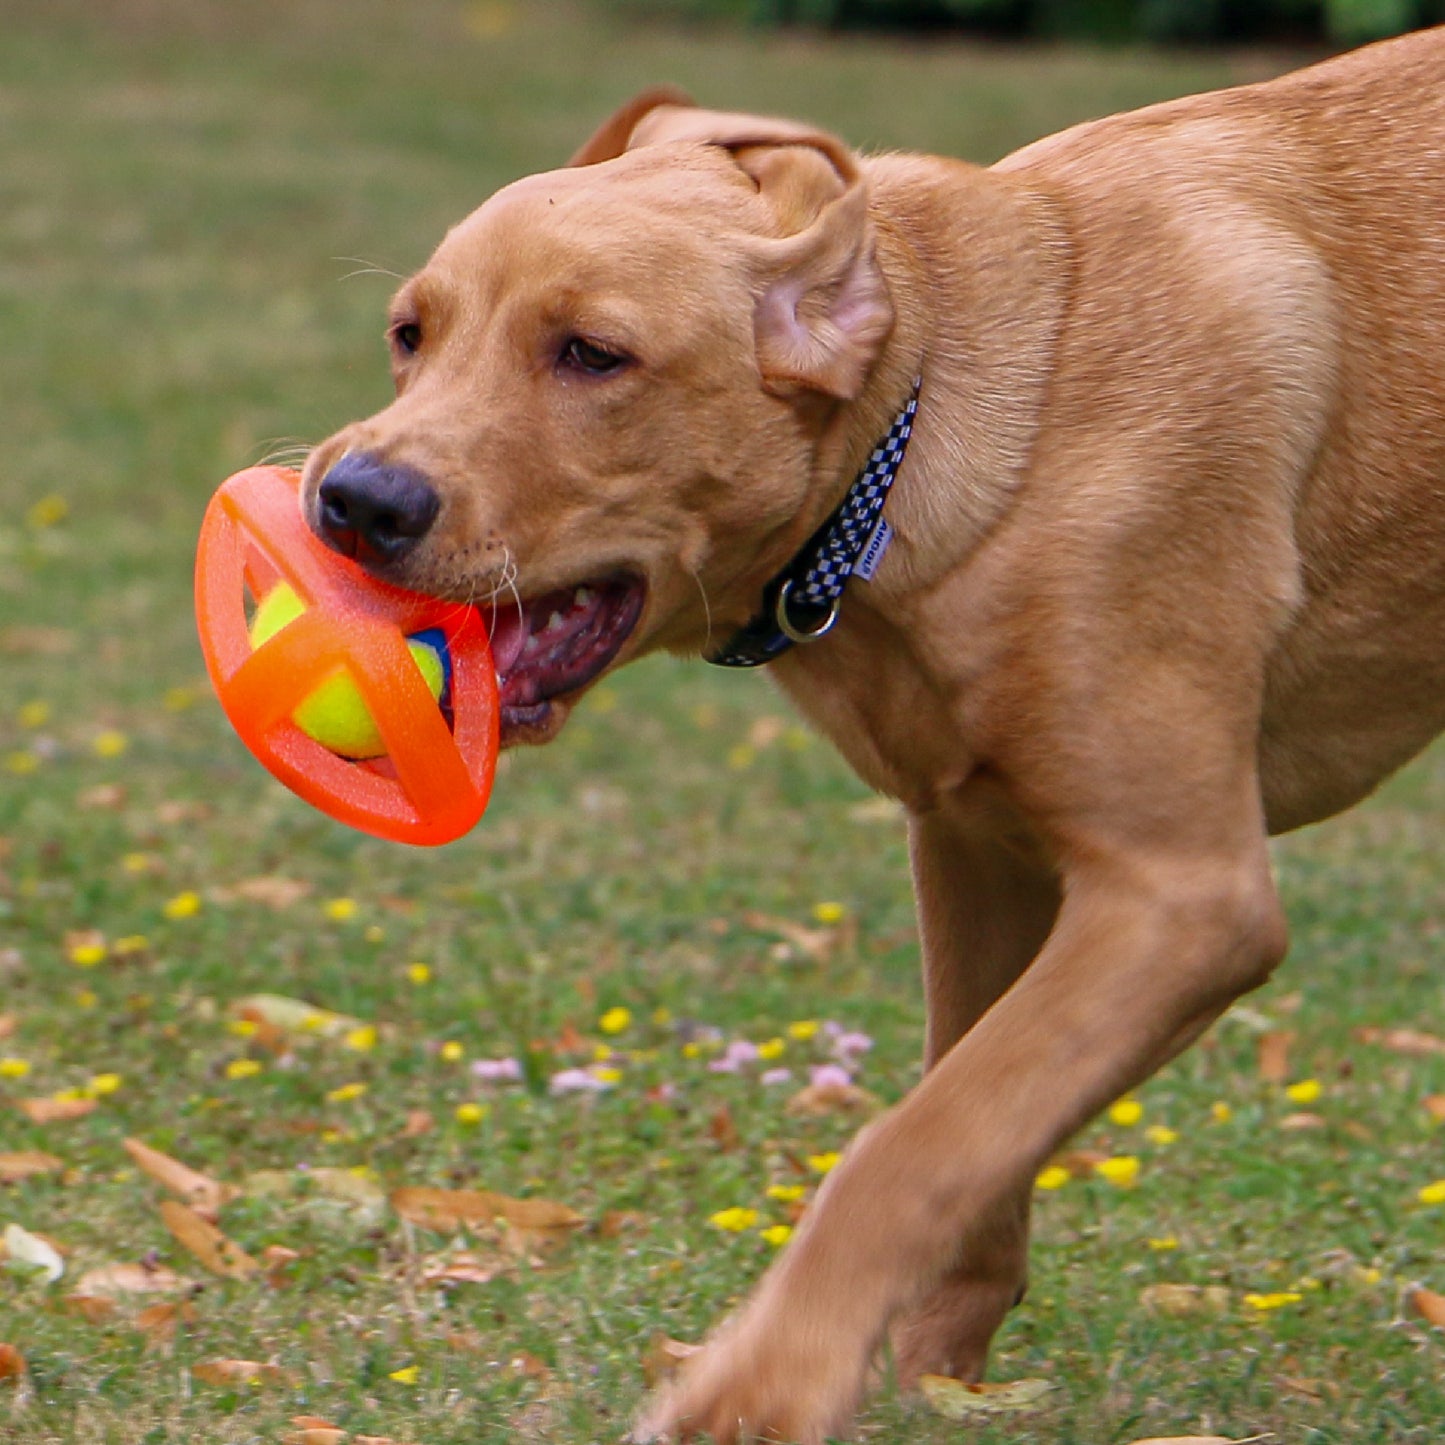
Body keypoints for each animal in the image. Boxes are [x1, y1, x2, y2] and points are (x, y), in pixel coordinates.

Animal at [299, 28, 1445, 1439]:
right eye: (411, 334)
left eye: (592, 355)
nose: (353, 499)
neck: (924, 420)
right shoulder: (977, 847)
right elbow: (970, 1128)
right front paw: (924, 1373)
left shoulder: (1182, 896)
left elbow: (910, 1145)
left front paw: (760, 1385)